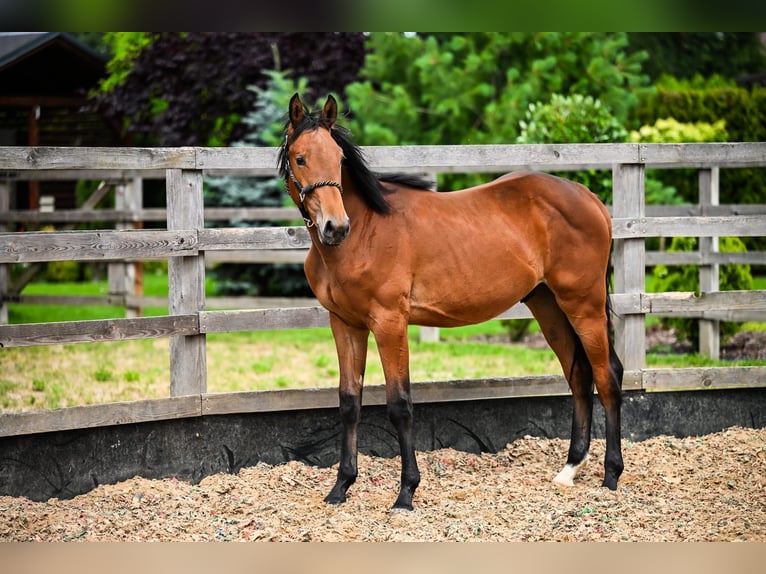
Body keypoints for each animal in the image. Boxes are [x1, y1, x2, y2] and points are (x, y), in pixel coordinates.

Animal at [278, 93, 624, 510]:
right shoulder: (345, 324)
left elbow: (400, 404)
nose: (335, 226)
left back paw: (611, 475)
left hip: (584, 305)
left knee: (607, 377)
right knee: (579, 375)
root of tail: (588, 197)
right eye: (300, 158)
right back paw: (570, 469)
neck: (364, 233)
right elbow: (349, 402)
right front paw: (341, 486)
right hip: (549, 307)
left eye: (339, 159)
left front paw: (406, 493)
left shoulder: (390, 323)